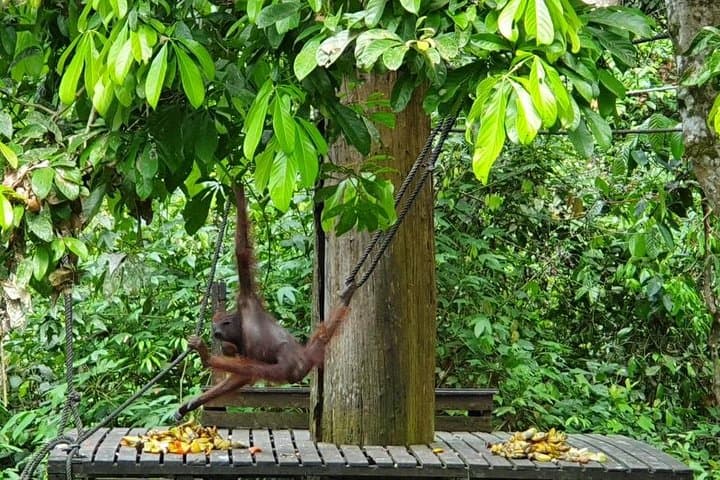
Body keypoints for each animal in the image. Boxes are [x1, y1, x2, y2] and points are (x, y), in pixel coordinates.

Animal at [174, 183, 350, 420]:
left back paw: (206, 357)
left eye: (219, 328)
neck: (241, 326)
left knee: (262, 368)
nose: (216, 334)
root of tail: (306, 358)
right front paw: (193, 403)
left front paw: (236, 185)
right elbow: (241, 378)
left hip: (292, 367)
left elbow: (241, 252)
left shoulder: (247, 299)